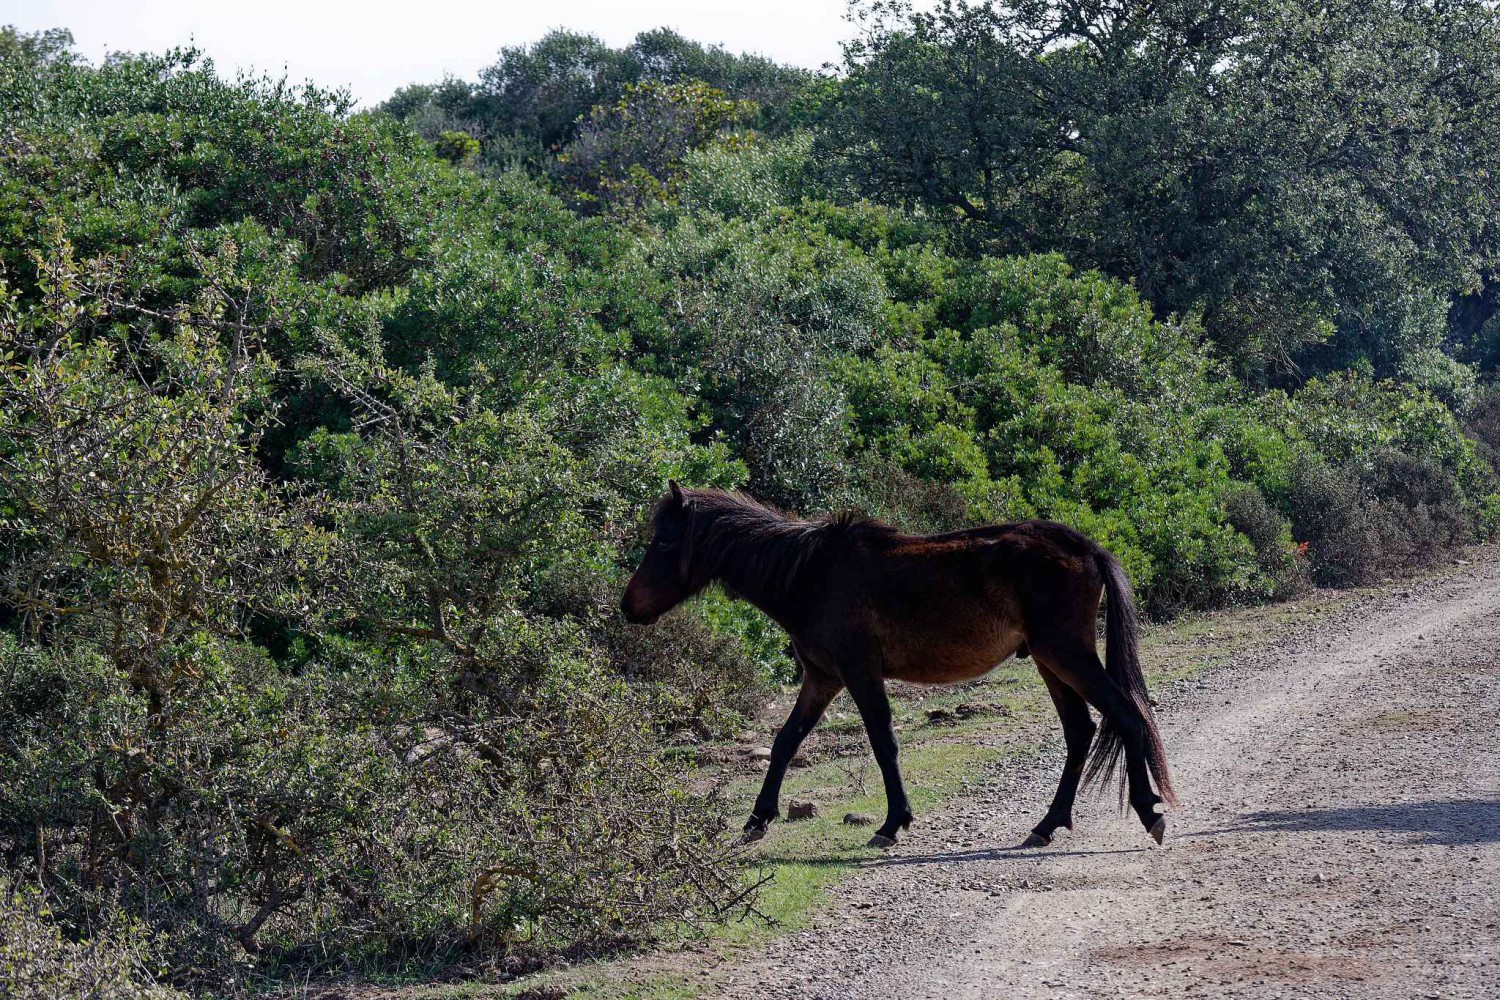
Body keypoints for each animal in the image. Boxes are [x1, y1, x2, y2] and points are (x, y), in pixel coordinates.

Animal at [620, 482, 1175, 850]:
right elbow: (785, 741)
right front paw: (758, 818)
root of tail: (1087, 547)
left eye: (665, 542)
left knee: (1127, 714)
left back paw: (1148, 812)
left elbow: (883, 741)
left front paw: (892, 823)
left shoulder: (859, 675)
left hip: (1066, 655)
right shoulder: (822, 680)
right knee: (1081, 731)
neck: (811, 574)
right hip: (1049, 661)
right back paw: (1047, 824)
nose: (629, 606)